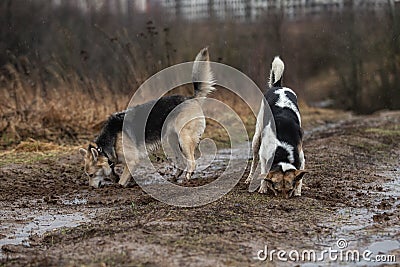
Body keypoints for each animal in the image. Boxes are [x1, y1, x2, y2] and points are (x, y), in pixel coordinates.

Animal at [79, 47, 216, 188]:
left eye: (91, 175)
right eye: (87, 175)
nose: (91, 187)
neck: (110, 140)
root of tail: (191, 98)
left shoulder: (132, 161)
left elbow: (122, 179)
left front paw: (120, 186)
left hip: (184, 139)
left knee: (192, 162)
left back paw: (188, 178)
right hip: (171, 140)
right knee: (182, 162)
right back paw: (174, 178)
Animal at [244, 56, 306, 199]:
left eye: (289, 190)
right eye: (277, 189)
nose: (283, 199)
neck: (282, 148)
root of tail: (278, 86)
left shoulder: (301, 157)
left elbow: (299, 177)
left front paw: (298, 191)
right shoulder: (264, 154)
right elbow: (264, 172)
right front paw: (263, 188)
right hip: (256, 138)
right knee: (254, 161)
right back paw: (249, 178)